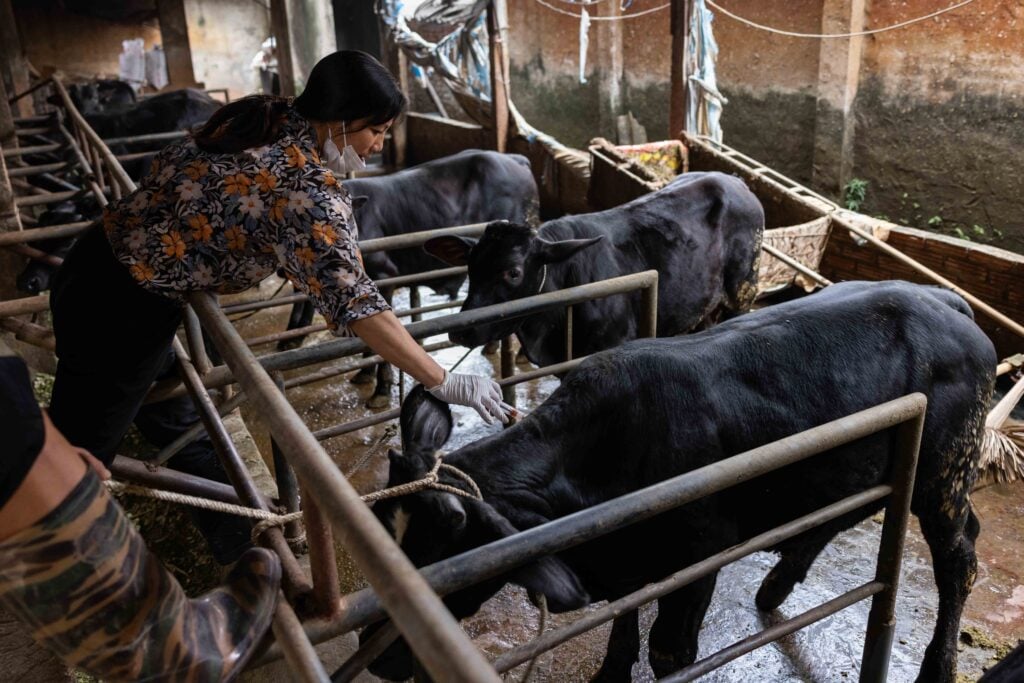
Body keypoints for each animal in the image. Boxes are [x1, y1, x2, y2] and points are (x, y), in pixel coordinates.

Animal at [366, 280, 991, 679]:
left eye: (442, 560)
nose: (381, 663)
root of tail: (946, 299)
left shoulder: (697, 561)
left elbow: (668, 653)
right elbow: (623, 623)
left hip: (943, 475)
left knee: (960, 557)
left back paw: (938, 666)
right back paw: (775, 586)